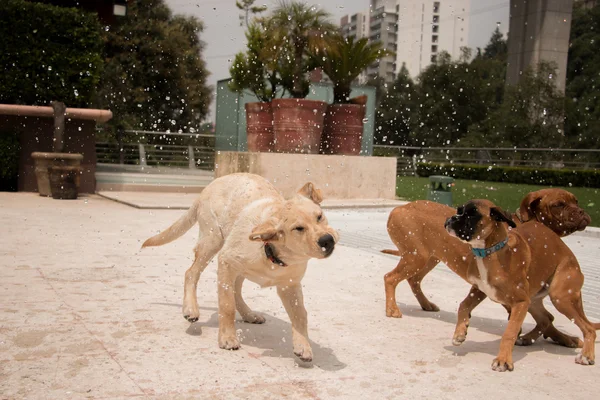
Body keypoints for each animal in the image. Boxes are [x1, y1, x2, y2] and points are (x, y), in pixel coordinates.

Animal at [442, 200, 596, 372]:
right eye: (459, 210)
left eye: (472, 214)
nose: (450, 219)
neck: (490, 251)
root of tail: (571, 256)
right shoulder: (479, 290)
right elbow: (463, 305)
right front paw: (460, 333)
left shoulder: (520, 302)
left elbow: (509, 332)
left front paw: (503, 360)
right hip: (533, 301)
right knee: (546, 318)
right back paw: (527, 339)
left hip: (560, 298)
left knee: (588, 328)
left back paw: (587, 356)